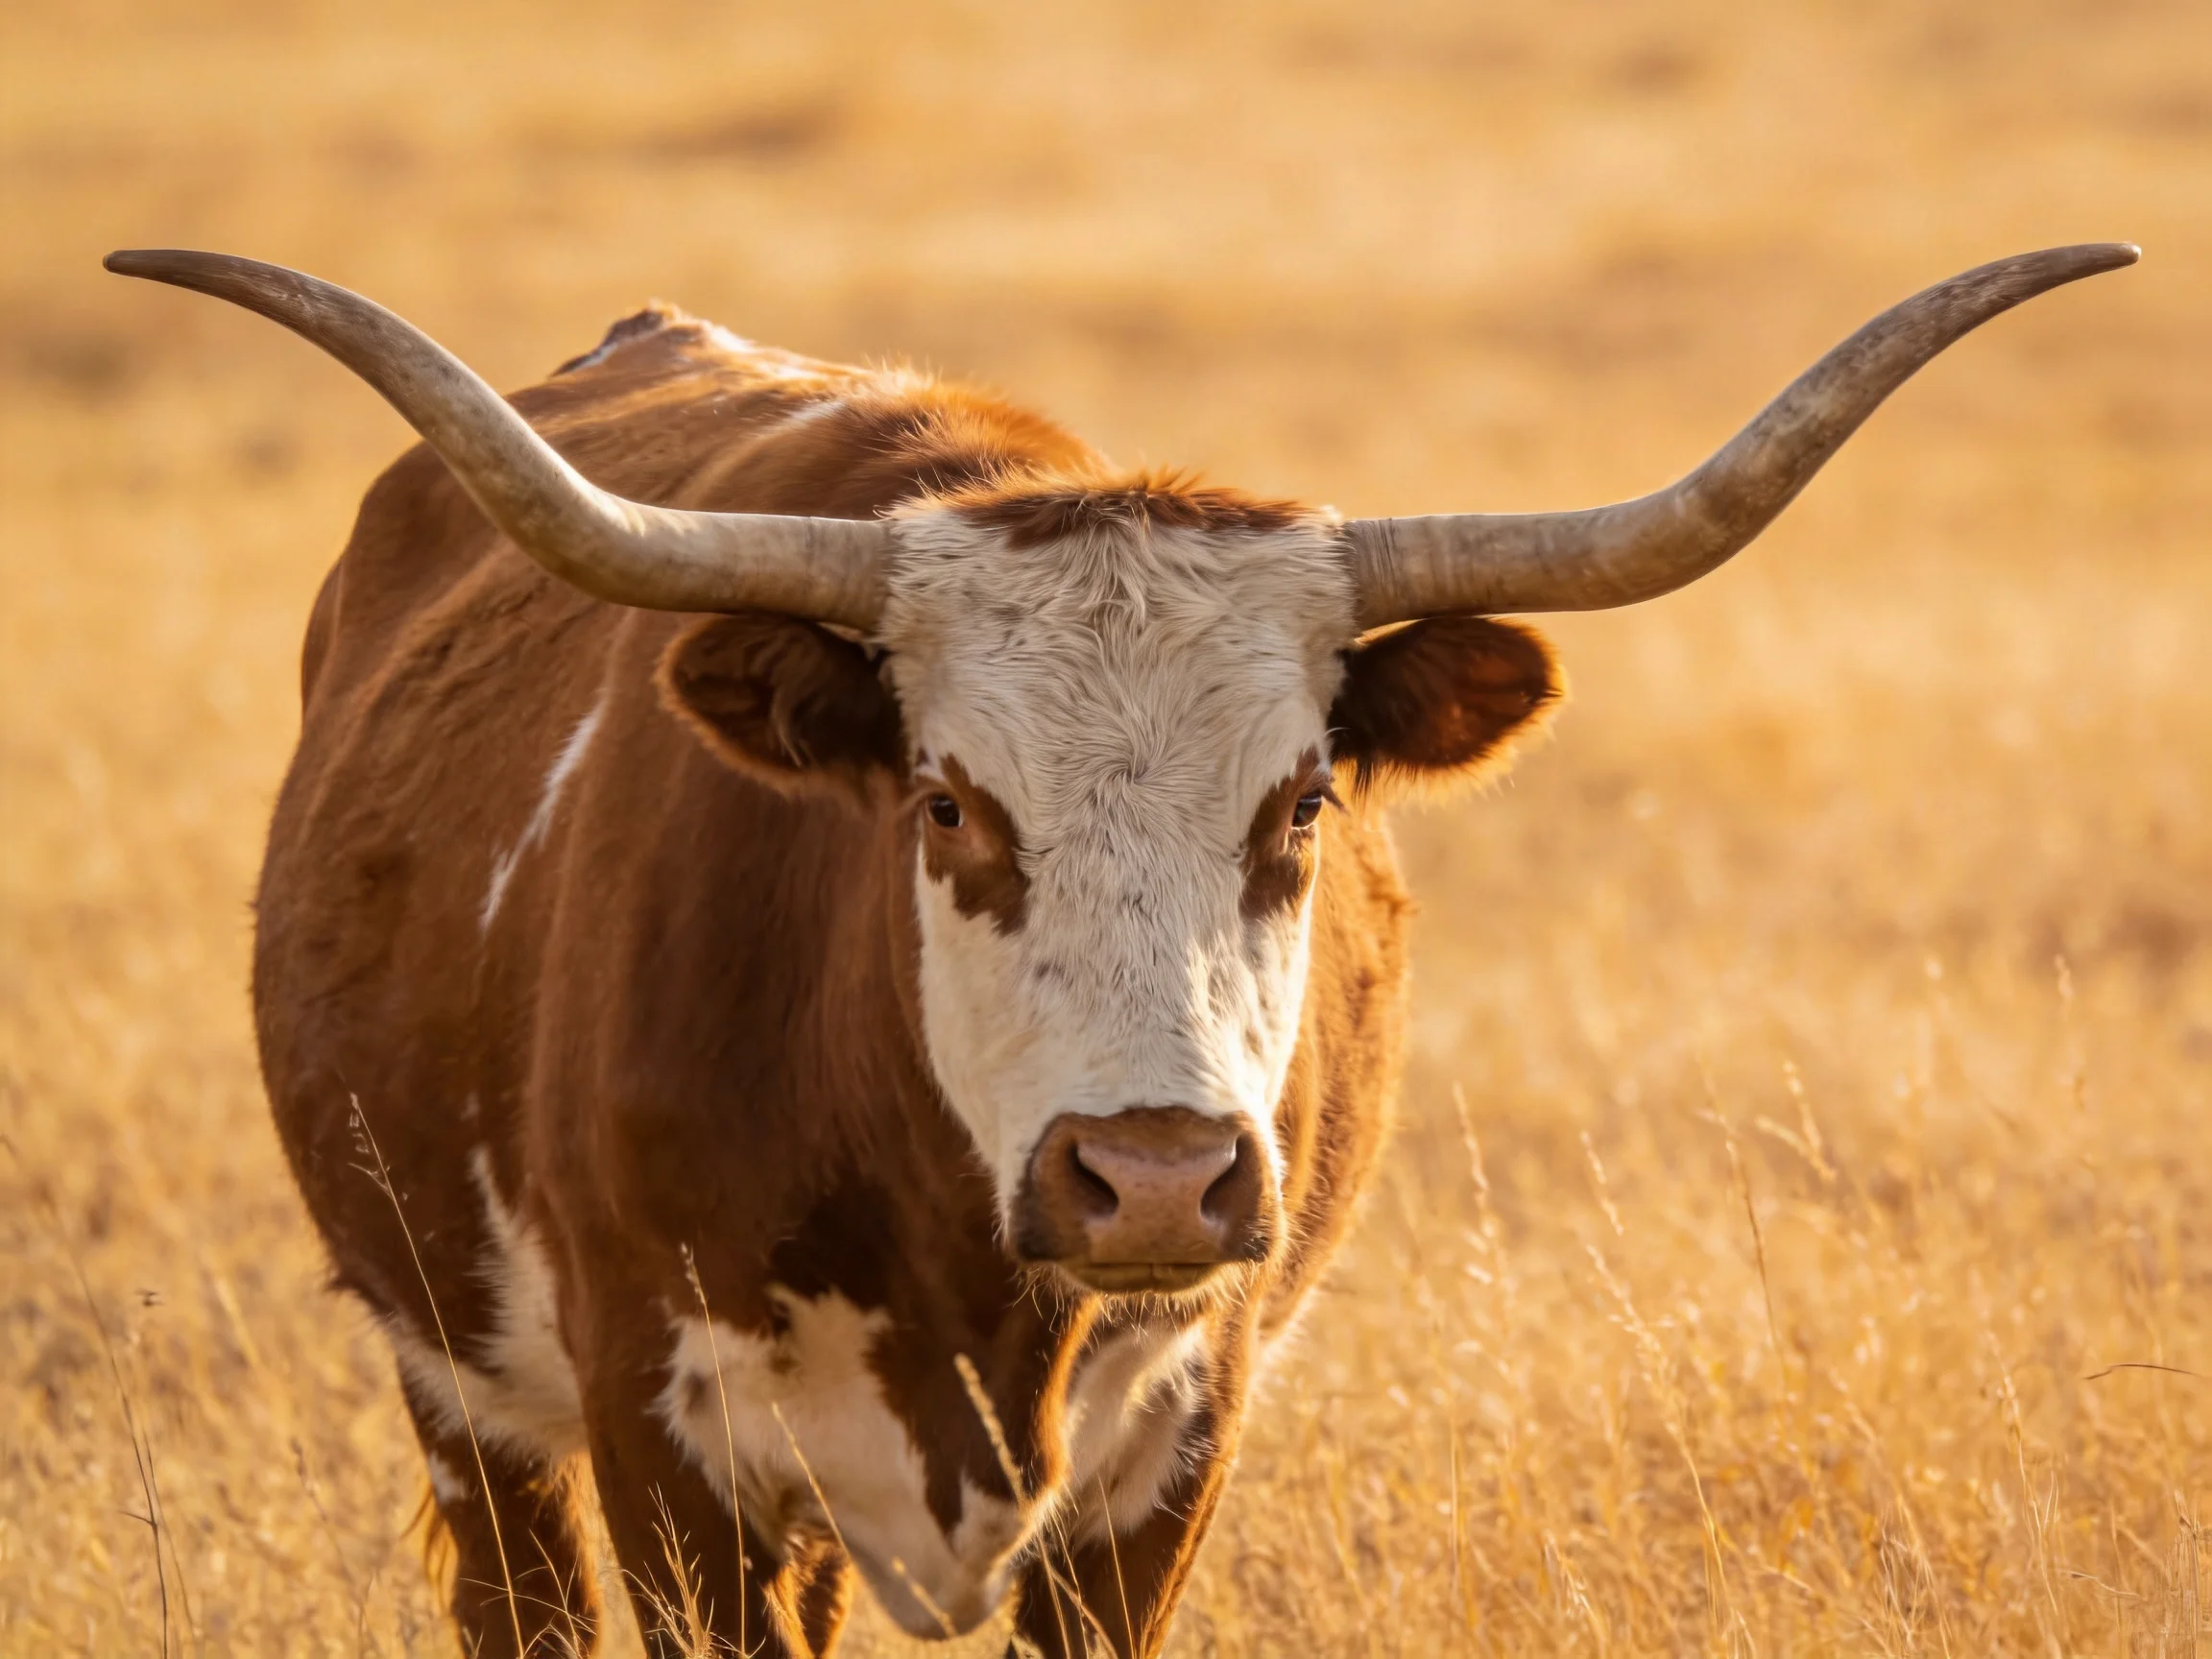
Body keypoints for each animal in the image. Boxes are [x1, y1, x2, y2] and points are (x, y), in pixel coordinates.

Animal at [107, 242, 2132, 1657]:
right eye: (944, 803)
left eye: (1300, 803)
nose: (1150, 1174)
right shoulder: (656, 1438)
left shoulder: (1170, 1451)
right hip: (465, 1389)